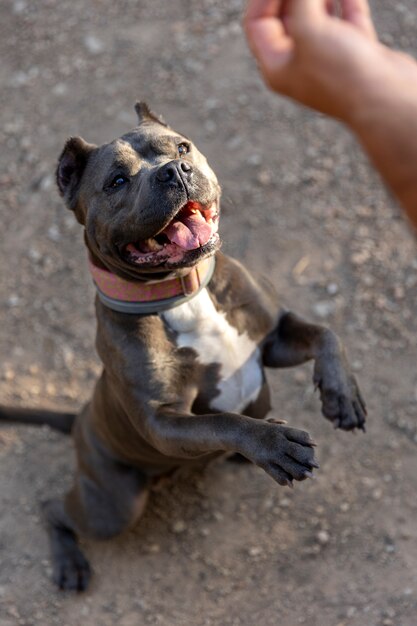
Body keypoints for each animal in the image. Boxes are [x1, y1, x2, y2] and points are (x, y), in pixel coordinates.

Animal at [0, 102, 364, 588]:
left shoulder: (272, 339)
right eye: (117, 181)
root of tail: (80, 419)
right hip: (115, 505)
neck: (184, 292)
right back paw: (68, 561)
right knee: (54, 507)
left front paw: (342, 395)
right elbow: (223, 421)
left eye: (182, 147)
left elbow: (327, 334)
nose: (174, 170)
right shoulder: (163, 420)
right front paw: (272, 444)